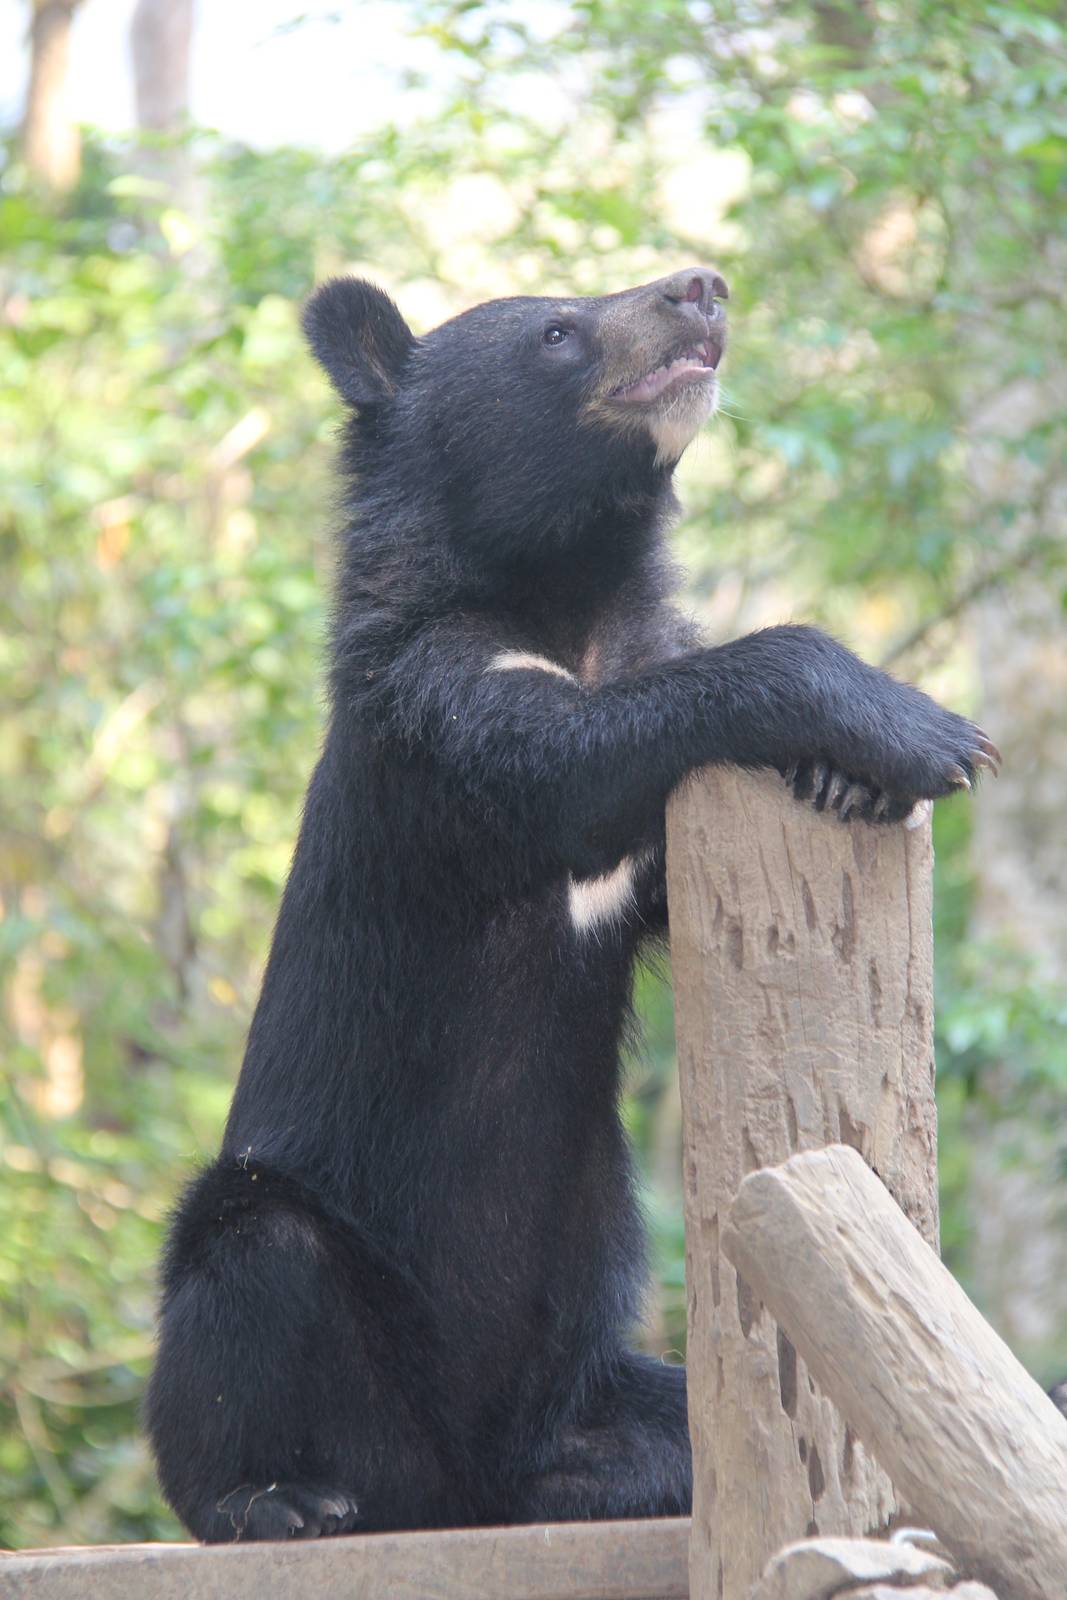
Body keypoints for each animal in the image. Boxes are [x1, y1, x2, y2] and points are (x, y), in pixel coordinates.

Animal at [145, 267, 996, 1542]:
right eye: (556, 331)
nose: (701, 285)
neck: (567, 597)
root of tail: (462, 1479)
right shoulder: (436, 717)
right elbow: (573, 766)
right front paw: (922, 732)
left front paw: (844, 779)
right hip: (312, 1283)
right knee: (248, 1266)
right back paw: (279, 1497)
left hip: (592, 1386)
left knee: (657, 1421)